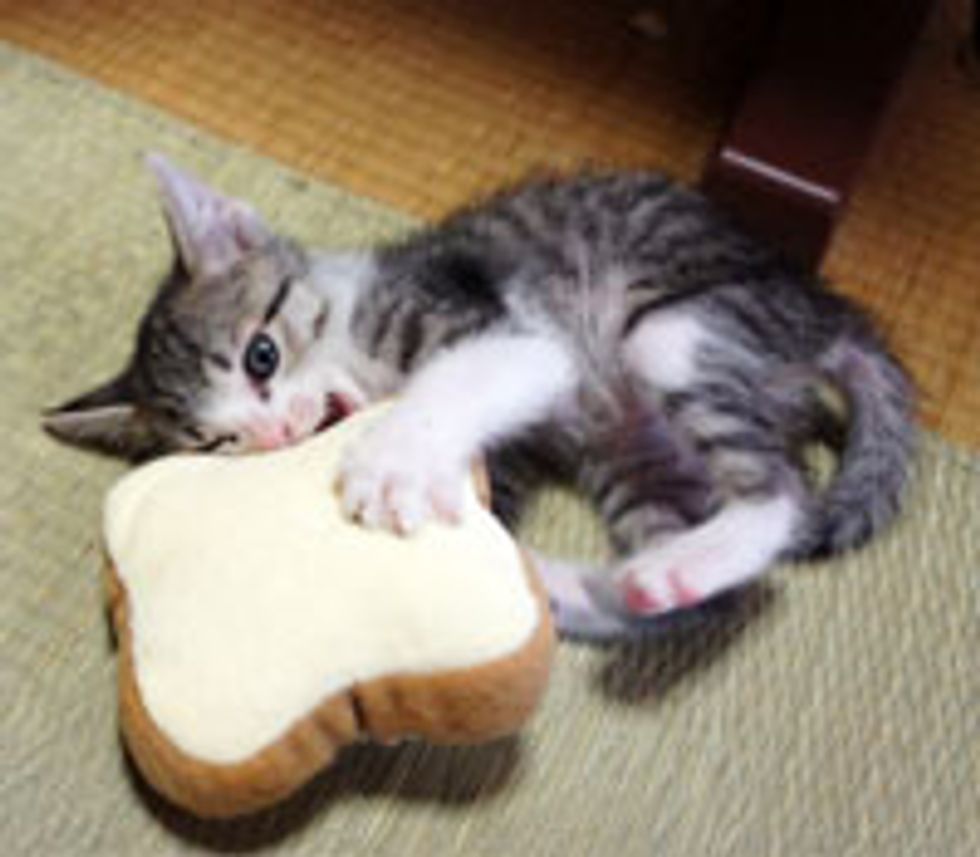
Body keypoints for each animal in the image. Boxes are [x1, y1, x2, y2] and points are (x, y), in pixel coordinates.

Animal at [44, 155, 920, 636]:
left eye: (262, 356)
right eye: (217, 444)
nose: (275, 435)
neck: (356, 335)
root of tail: (831, 313)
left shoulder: (511, 333)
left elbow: (469, 376)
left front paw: (393, 462)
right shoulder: (516, 454)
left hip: (678, 329)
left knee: (781, 492)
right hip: (635, 453)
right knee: (700, 590)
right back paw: (622, 581)